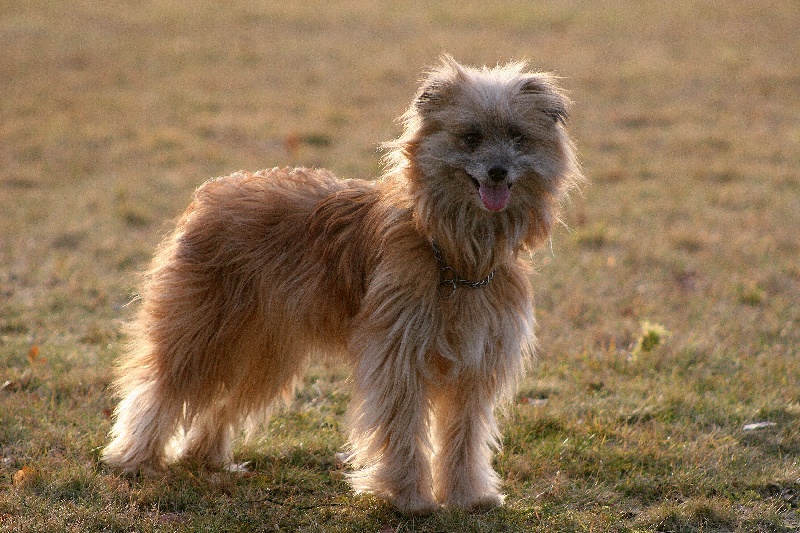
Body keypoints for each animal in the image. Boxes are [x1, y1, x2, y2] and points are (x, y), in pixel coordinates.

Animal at [103, 55, 582, 513]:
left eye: (518, 137)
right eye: (471, 137)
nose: (498, 171)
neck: (454, 252)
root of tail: (212, 194)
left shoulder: (474, 367)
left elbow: (463, 436)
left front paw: (467, 498)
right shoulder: (398, 358)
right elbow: (403, 430)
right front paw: (409, 500)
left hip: (267, 353)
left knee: (227, 402)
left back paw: (206, 458)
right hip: (202, 334)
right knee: (158, 391)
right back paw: (134, 459)